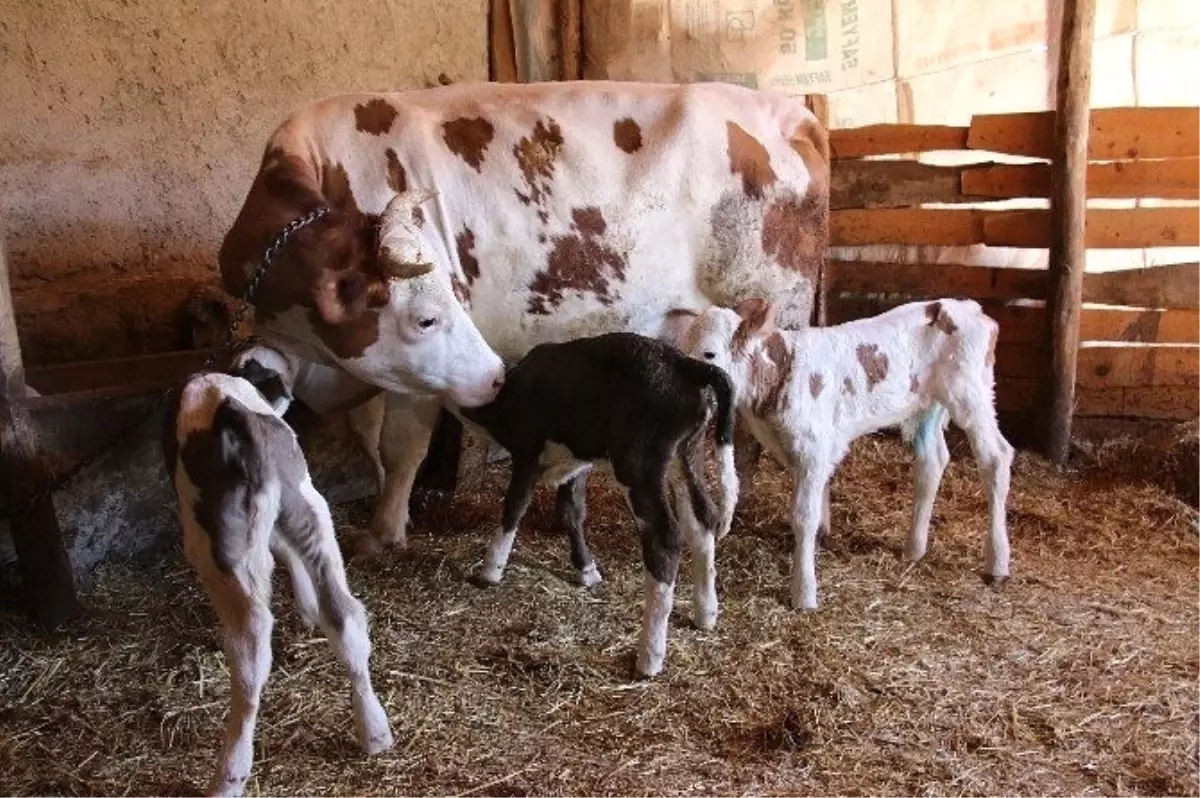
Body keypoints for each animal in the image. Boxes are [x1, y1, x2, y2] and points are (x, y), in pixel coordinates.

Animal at [165, 355, 393, 796]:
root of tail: (230, 408)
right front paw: (306, 610)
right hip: (309, 505)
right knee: (344, 614)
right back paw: (374, 731)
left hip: (218, 549)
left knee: (250, 653)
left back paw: (229, 775)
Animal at [220, 82, 830, 554]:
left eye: (430, 316)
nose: (494, 375)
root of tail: (791, 111)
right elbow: (368, 437)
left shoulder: (416, 371)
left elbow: (401, 443)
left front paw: (384, 531)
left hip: (772, 311)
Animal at [458, 331, 739, 676]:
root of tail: (685, 364)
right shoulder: (577, 462)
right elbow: (571, 511)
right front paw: (586, 570)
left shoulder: (527, 450)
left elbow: (515, 505)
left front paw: (491, 569)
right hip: (686, 454)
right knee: (702, 520)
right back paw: (706, 613)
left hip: (639, 464)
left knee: (665, 539)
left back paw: (649, 657)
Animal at [676, 297, 1012, 609]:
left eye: (709, 353)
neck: (781, 372)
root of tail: (967, 306)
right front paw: (820, 538)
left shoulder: (812, 448)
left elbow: (803, 516)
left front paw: (804, 591)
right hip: (928, 403)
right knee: (932, 462)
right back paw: (914, 548)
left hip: (971, 394)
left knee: (996, 457)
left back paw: (997, 563)